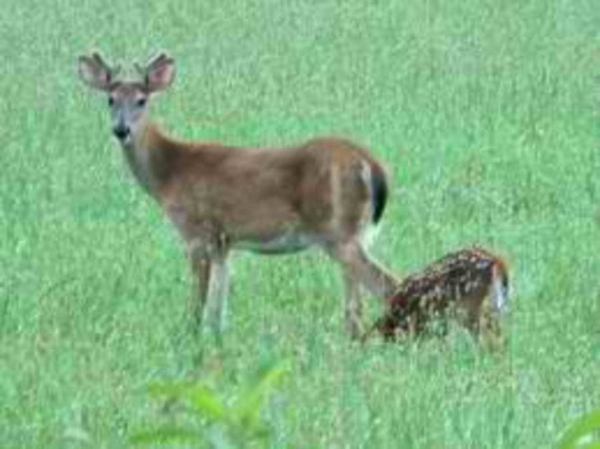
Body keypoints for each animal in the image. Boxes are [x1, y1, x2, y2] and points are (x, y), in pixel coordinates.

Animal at [77, 52, 400, 338]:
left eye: (141, 101)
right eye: (110, 99)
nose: (121, 129)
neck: (169, 173)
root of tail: (372, 165)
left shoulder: (197, 232)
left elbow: (198, 303)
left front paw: (189, 339)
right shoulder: (225, 242)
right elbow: (219, 309)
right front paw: (216, 342)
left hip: (338, 233)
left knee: (388, 286)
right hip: (356, 234)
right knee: (356, 304)